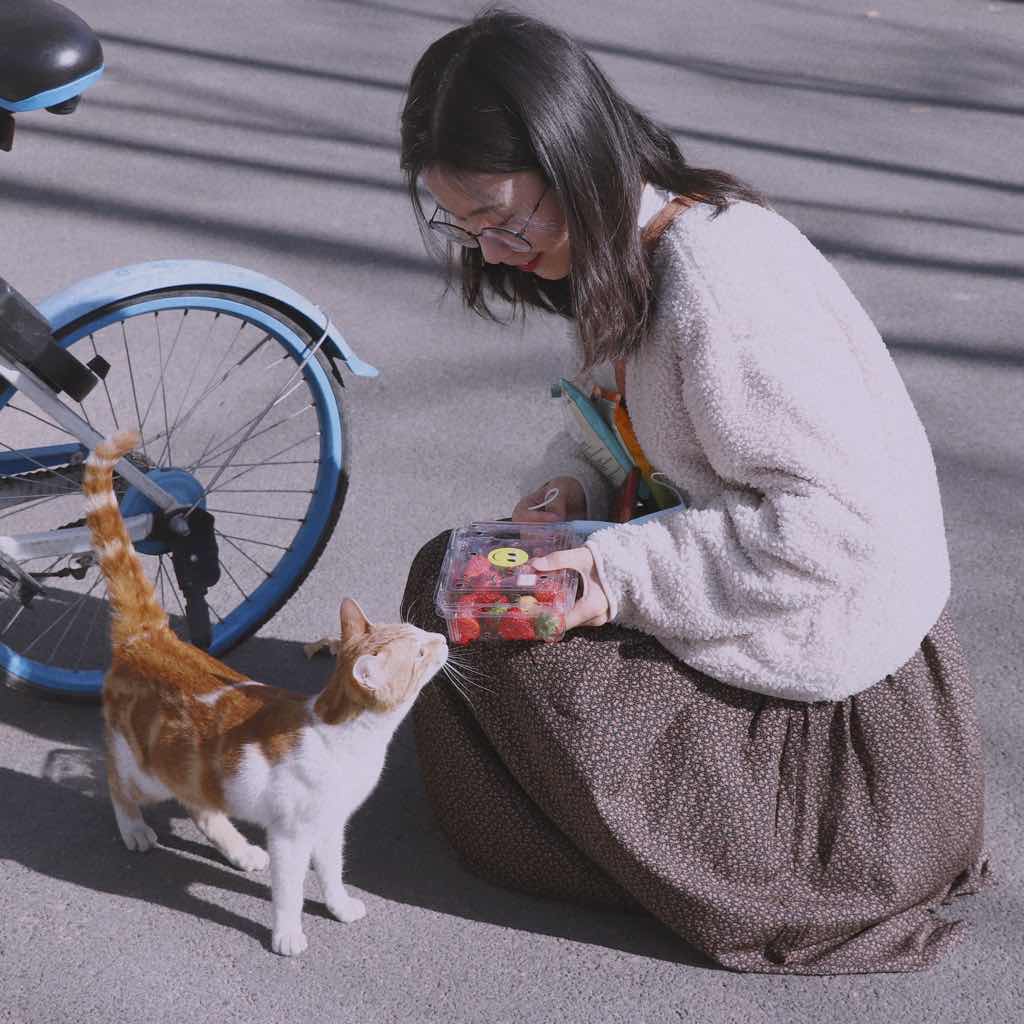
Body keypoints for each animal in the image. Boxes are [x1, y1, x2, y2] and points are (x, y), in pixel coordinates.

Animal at [82, 430, 444, 950]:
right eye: (418, 652)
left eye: (420, 635)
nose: (442, 639)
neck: (348, 738)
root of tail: (149, 636)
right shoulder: (292, 836)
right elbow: (289, 891)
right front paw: (288, 935)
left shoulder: (331, 827)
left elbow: (332, 872)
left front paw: (339, 907)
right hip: (146, 771)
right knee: (117, 781)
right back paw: (133, 828)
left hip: (189, 770)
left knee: (202, 806)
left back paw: (241, 851)